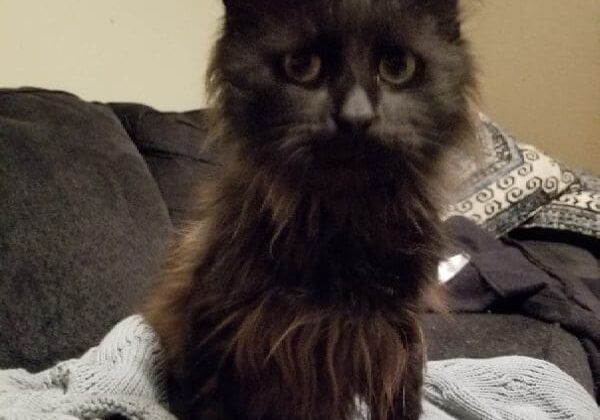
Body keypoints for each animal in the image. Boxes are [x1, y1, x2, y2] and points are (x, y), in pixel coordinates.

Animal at [144, 1, 474, 418]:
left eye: (397, 66)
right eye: (301, 65)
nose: (356, 117)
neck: (343, 226)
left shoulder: (400, 339)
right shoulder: (217, 337)